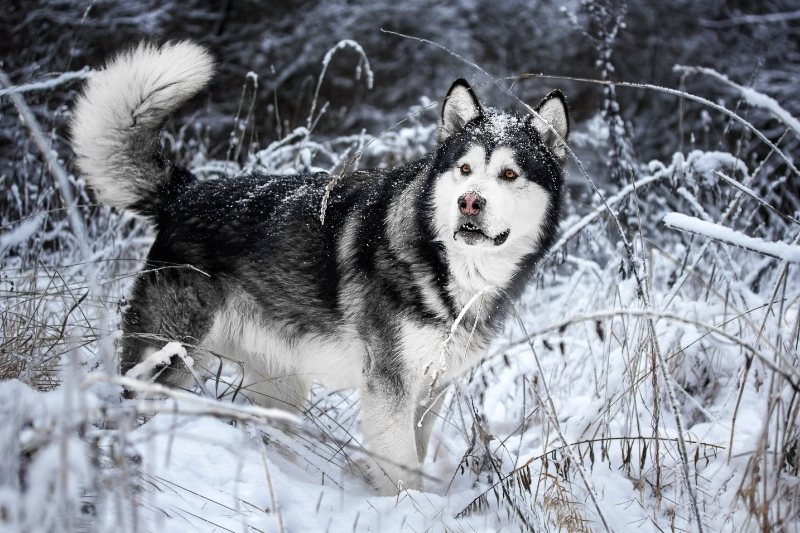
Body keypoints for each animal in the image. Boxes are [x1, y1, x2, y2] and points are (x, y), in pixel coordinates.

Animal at [70, 41, 568, 494]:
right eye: (464, 169)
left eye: (509, 174)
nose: (469, 202)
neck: (450, 269)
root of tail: (184, 193)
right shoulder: (388, 388)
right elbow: (403, 471)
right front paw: (411, 510)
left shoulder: (431, 390)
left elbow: (419, 451)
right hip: (168, 359)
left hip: (279, 387)